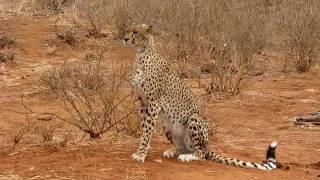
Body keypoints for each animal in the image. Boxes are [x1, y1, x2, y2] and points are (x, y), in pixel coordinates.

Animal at [124, 24, 278, 170]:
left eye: (135, 32)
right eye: (127, 30)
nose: (125, 39)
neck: (141, 55)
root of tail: (208, 146)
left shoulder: (153, 102)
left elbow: (147, 129)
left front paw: (141, 154)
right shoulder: (144, 102)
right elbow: (145, 127)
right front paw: (143, 150)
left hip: (194, 118)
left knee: (201, 153)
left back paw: (188, 156)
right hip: (168, 127)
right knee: (183, 148)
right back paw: (173, 152)